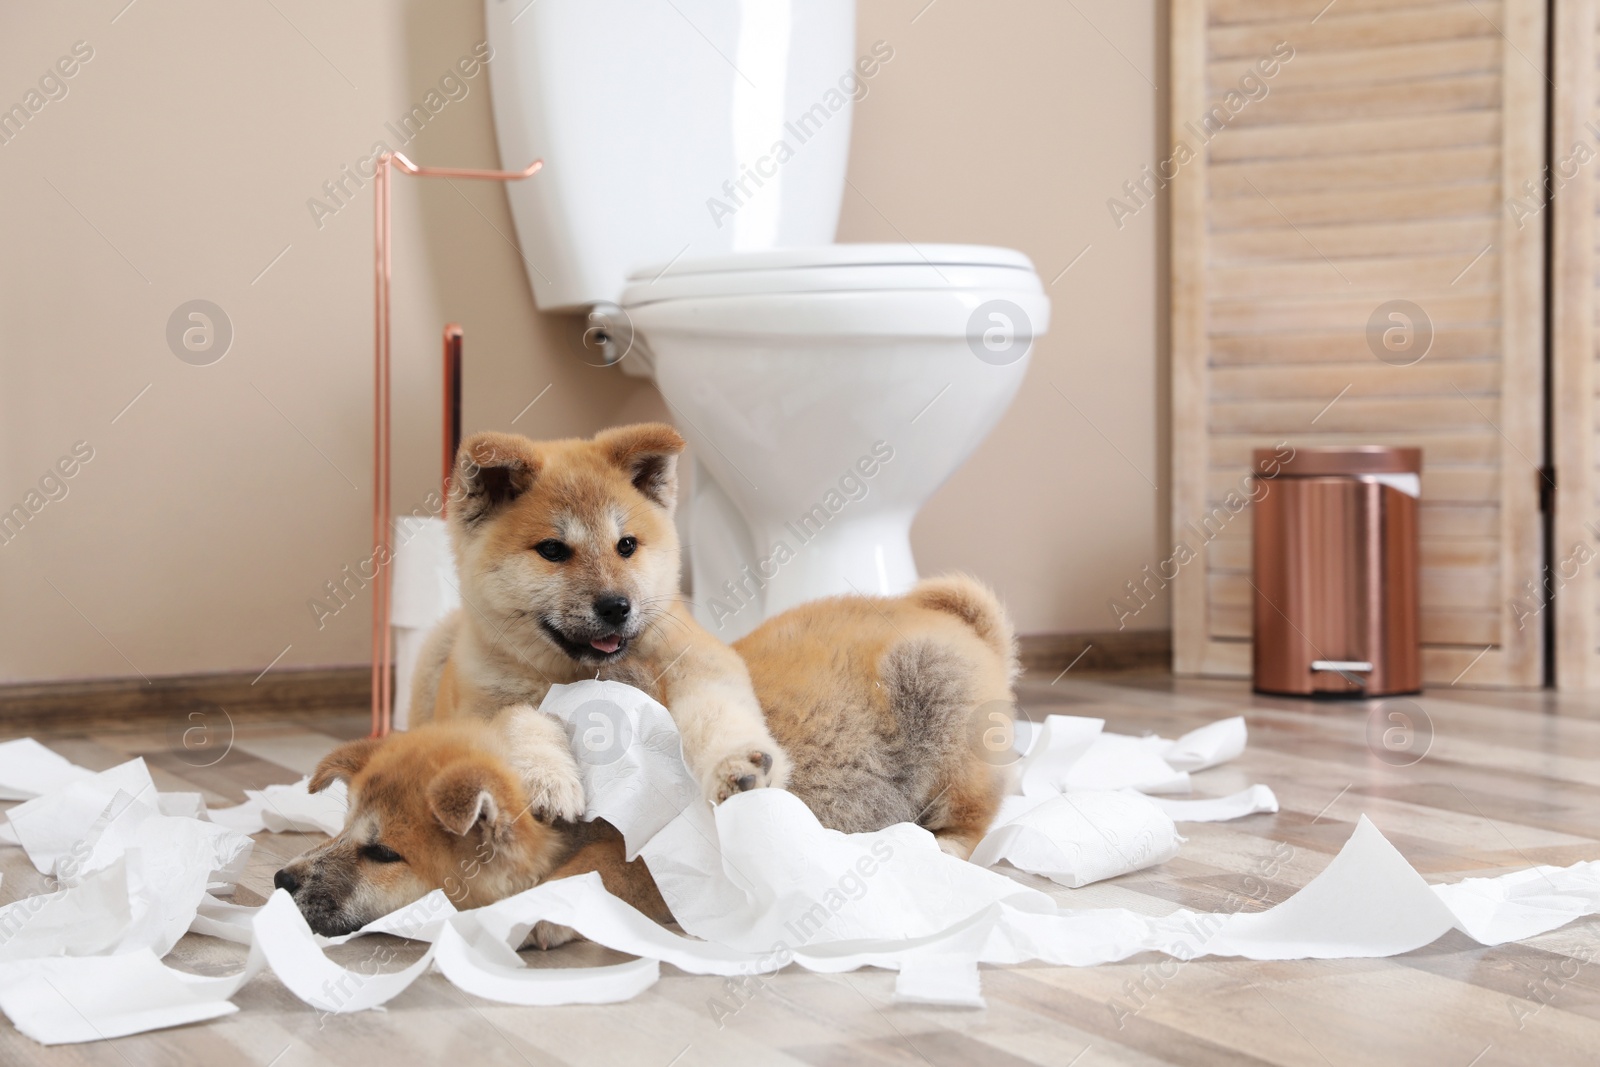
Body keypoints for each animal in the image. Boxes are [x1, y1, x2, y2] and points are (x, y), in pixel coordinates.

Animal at [273, 575, 1011, 940]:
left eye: (383, 852)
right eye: (344, 830)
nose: (280, 878)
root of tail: (953, 619)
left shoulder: (651, 857)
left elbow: (599, 874)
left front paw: (544, 913)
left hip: (938, 708)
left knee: (975, 816)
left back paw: (937, 847)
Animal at [409, 422, 790, 819]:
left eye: (626, 545)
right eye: (552, 550)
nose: (616, 607)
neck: (584, 672)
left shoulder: (700, 662)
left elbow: (714, 712)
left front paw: (738, 764)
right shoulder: (478, 708)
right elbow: (518, 719)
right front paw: (548, 777)